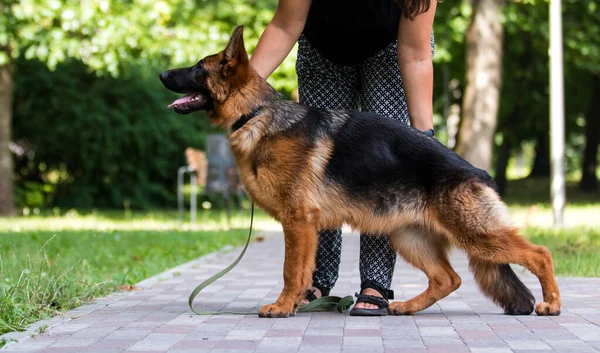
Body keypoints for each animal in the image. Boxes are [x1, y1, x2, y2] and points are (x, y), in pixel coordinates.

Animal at [157, 24, 560, 316]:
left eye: (197, 69)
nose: (161, 73)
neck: (255, 113)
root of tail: (476, 171)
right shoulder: (306, 228)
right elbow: (302, 272)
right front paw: (296, 304)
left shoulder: (298, 222)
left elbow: (290, 271)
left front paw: (282, 307)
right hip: (408, 237)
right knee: (449, 278)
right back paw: (407, 307)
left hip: (475, 234)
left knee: (540, 253)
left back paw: (552, 303)